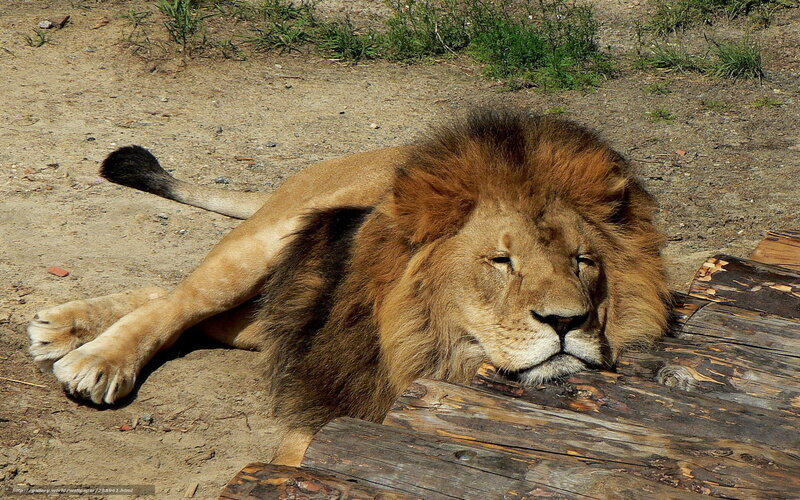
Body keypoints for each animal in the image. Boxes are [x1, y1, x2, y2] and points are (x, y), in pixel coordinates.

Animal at [28, 109, 670, 464]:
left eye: (584, 261)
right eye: (501, 261)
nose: (566, 322)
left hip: (274, 311)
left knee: (176, 304)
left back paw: (62, 328)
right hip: (264, 244)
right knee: (181, 299)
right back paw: (94, 359)